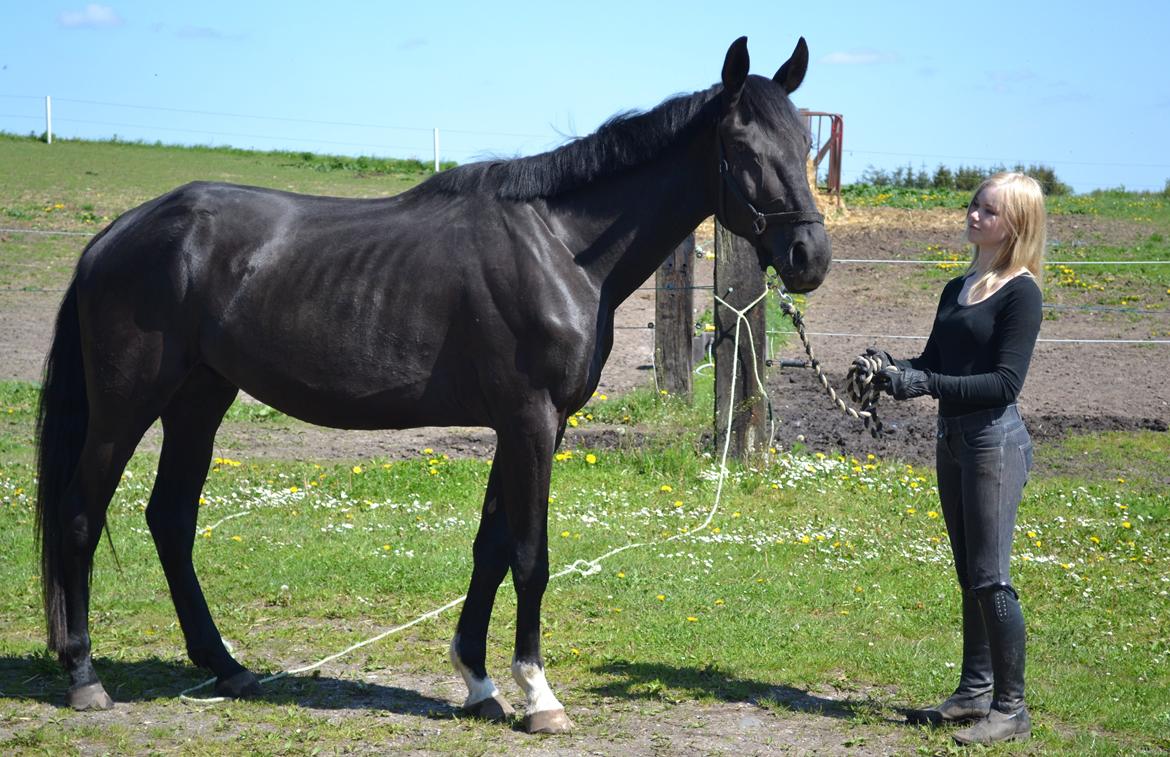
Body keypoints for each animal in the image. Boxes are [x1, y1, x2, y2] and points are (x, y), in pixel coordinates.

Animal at [34, 37, 833, 734]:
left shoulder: (528, 426)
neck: (561, 247)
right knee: (78, 514)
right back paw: (85, 676)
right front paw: (539, 695)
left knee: (170, 518)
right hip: (127, 405)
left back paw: (225, 666)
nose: (809, 256)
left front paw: (479, 683)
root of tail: (115, 235)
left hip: (199, 400)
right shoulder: (530, 420)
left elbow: (491, 548)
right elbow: (531, 555)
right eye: (743, 151)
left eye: (804, 146)